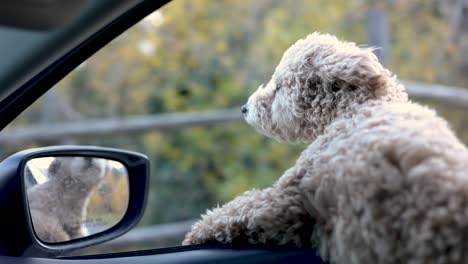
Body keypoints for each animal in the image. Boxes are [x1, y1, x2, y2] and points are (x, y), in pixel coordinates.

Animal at [184, 33, 468, 264]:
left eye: (279, 86)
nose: (244, 108)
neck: (355, 110)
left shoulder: (283, 201)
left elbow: (233, 211)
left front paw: (193, 235)